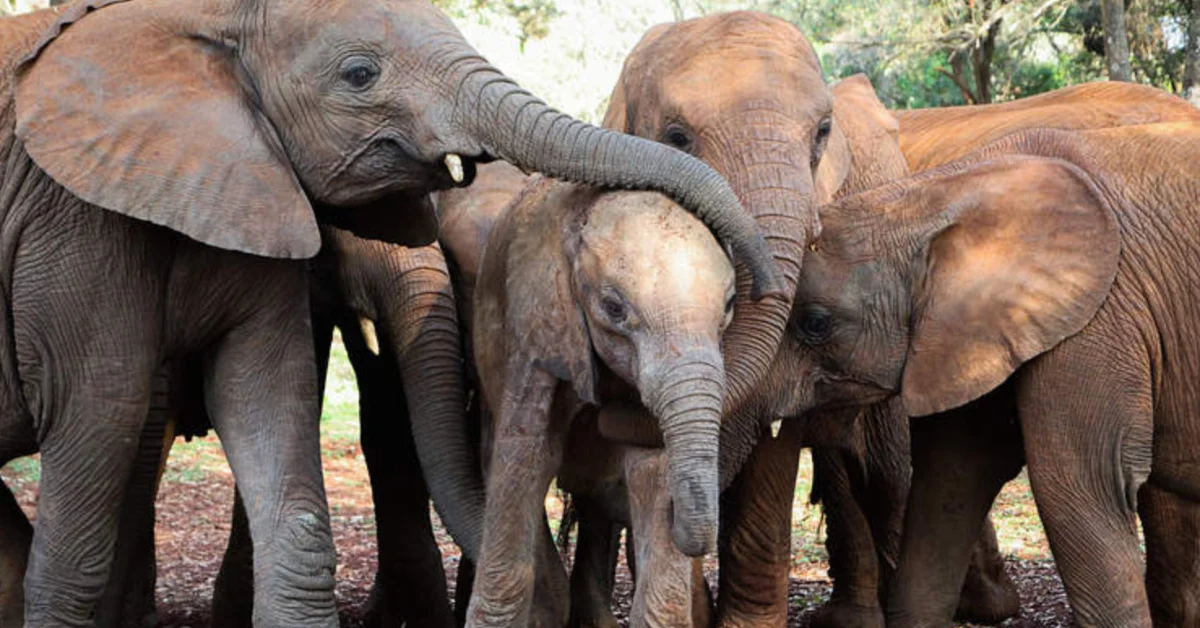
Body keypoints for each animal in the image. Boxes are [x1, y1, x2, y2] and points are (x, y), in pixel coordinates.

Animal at [469, 181, 737, 627]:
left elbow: (650, 471)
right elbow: (526, 459)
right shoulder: (536, 330)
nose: (684, 517)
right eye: (613, 308)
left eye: (730, 304)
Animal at [772, 121, 1200, 627]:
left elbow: (1080, 489)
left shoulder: (1099, 317)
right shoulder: (968, 334)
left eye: (815, 323)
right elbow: (951, 480)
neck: (935, 193)